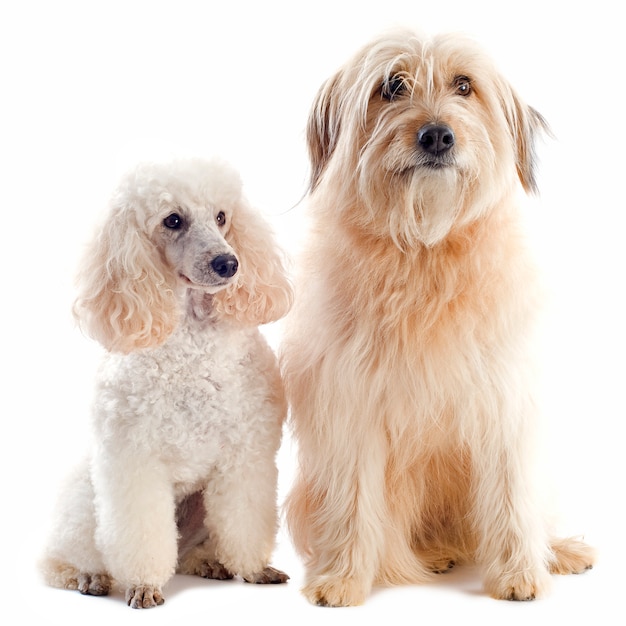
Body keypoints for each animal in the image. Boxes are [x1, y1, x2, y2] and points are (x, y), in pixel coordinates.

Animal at [280, 30, 596, 604]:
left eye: (464, 85)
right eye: (392, 86)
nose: (437, 136)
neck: (426, 248)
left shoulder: (505, 402)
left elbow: (513, 497)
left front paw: (520, 573)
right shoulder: (350, 409)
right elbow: (352, 501)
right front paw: (341, 578)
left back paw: (556, 551)